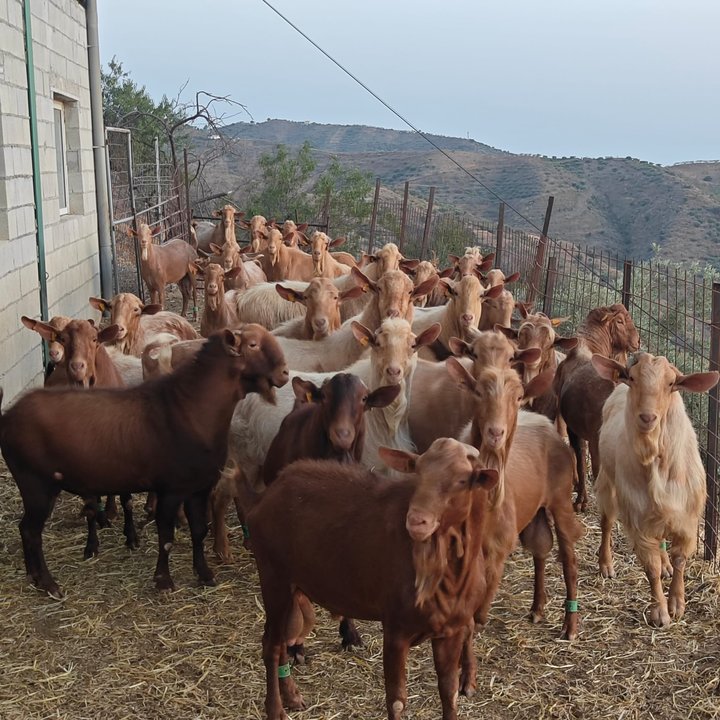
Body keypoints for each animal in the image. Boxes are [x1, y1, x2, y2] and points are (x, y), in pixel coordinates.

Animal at [2, 326, 290, 596]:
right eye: (252, 345)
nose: (285, 374)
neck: (192, 408)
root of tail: (8, 417)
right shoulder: (171, 489)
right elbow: (166, 536)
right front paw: (164, 581)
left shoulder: (198, 487)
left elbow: (198, 531)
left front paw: (205, 575)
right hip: (36, 483)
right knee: (31, 531)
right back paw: (48, 584)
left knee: (25, 529)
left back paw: (34, 577)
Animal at [246, 438, 496, 720]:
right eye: (418, 472)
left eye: (462, 480)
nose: (416, 521)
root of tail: (267, 495)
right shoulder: (396, 628)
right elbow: (397, 700)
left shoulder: (451, 630)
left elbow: (449, 692)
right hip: (273, 576)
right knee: (271, 644)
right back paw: (275, 709)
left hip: (292, 585)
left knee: (281, 642)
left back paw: (292, 696)